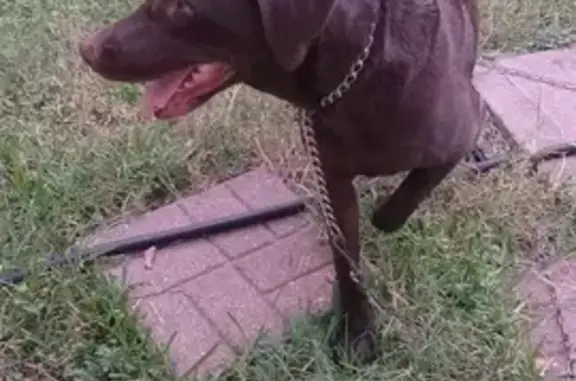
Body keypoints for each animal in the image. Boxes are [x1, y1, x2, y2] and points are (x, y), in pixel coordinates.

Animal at [77, 0, 482, 360]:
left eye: (182, 9)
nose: (85, 49)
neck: (358, 71)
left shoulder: (462, 134)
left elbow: (399, 205)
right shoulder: (331, 178)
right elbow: (346, 260)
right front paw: (356, 333)